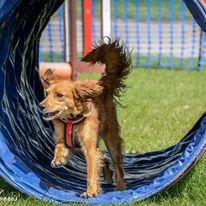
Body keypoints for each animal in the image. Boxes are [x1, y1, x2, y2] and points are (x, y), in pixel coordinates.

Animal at [39, 39, 131, 197]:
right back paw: (108, 177)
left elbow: (91, 171)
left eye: (59, 95)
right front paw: (58, 159)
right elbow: (59, 146)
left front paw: (91, 192)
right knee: (103, 156)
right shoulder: (63, 138)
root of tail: (103, 84)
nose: (41, 106)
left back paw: (120, 187)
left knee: (117, 163)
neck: (71, 119)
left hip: (111, 139)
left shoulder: (88, 146)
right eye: (47, 93)